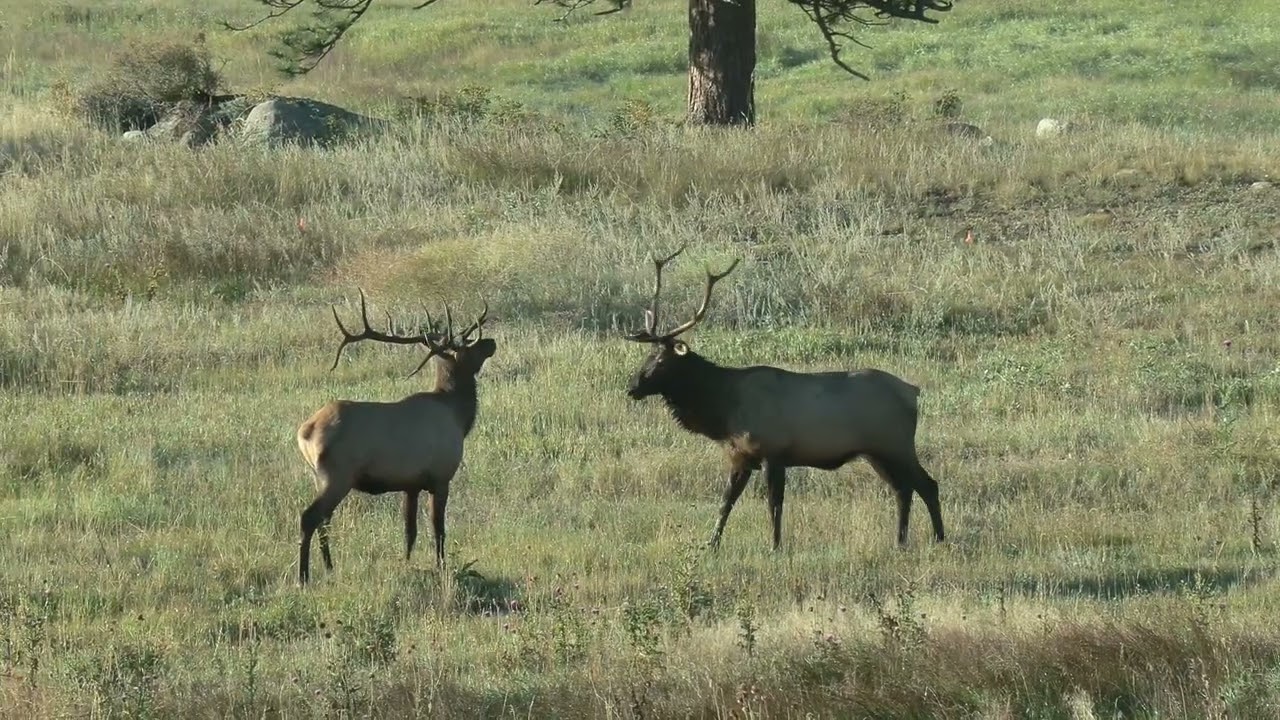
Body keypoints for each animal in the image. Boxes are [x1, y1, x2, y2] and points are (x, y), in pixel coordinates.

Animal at [294, 289, 495, 585]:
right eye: (469, 345)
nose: (492, 342)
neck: (459, 416)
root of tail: (305, 432)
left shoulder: (410, 484)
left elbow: (409, 532)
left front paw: (407, 563)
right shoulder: (441, 477)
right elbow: (438, 529)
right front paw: (441, 566)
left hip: (318, 477)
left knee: (324, 520)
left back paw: (329, 568)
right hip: (337, 475)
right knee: (310, 517)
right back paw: (304, 576)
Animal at [621, 247, 945, 553]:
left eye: (661, 360)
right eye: (647, 355)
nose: (632, 387)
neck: (723, 409)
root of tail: (913, 392)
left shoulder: (772, 452)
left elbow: (774, 504)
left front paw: (774, 545)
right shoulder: (740, 456)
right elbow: (726, 501)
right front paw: (711, 544)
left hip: (896, 445)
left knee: (926, 485)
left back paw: (937, 538)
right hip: (875, 452)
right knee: (904, 489)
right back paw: (902, 540)